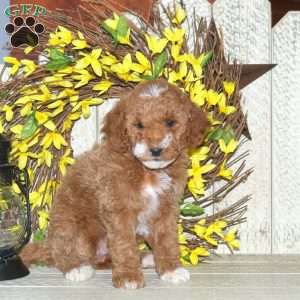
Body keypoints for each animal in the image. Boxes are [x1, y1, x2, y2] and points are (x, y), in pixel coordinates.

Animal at [21, 78, 209, 290]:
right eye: (139, 125)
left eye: (170, 122)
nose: (156, 150)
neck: (147, 170)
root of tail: (49, 243)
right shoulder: (118, 208)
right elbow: (123, 244)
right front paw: (128, 277)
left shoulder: (165, 208)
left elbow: (167, 240)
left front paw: (171, 270)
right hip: (74, 230)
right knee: (65, 253)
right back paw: (76, 268)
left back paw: (146, 258)